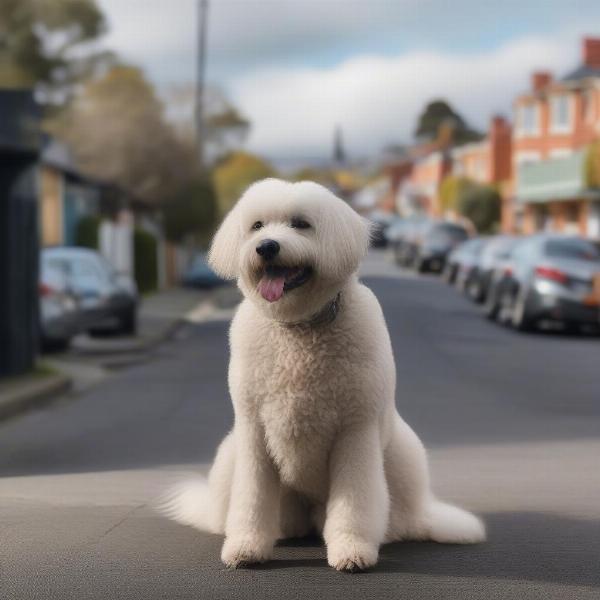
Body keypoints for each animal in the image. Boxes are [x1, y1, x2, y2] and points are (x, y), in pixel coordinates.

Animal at [162, 178, 486, 572]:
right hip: (230, 454)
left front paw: (351, 549)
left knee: (394, 517)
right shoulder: (253, 431)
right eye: (257, 226)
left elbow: (354, 502)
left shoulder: (355, 431)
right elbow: (252, 499)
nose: (266, 246)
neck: (298, 331)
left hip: (402, 455)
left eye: (301, 224)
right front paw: (246, 547)